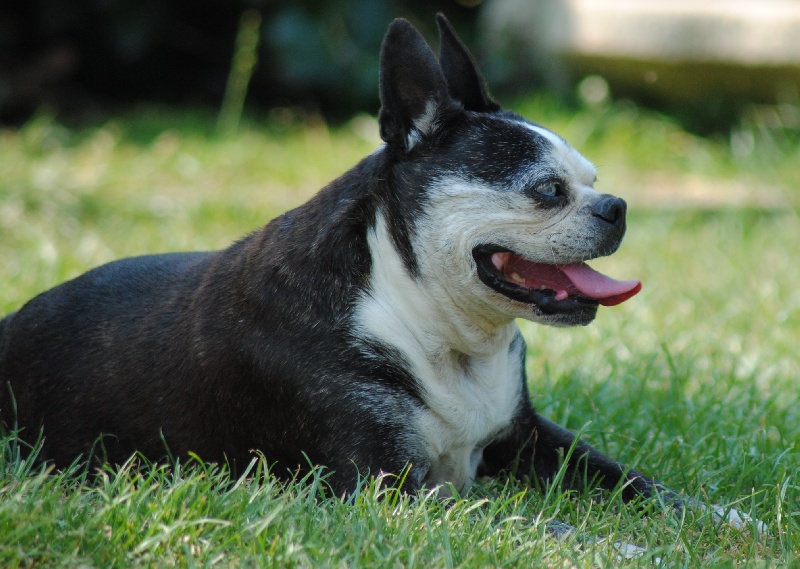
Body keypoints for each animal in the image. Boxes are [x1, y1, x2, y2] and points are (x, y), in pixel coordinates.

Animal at [0, 12, 764, 544]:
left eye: (595, 181)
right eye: (547, 190)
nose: (617, 206)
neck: (434, 325)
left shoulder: (531, 437)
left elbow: (639, 482)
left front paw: (729, 519)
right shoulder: (390, 487)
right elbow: (527, 522)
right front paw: (622, 548)